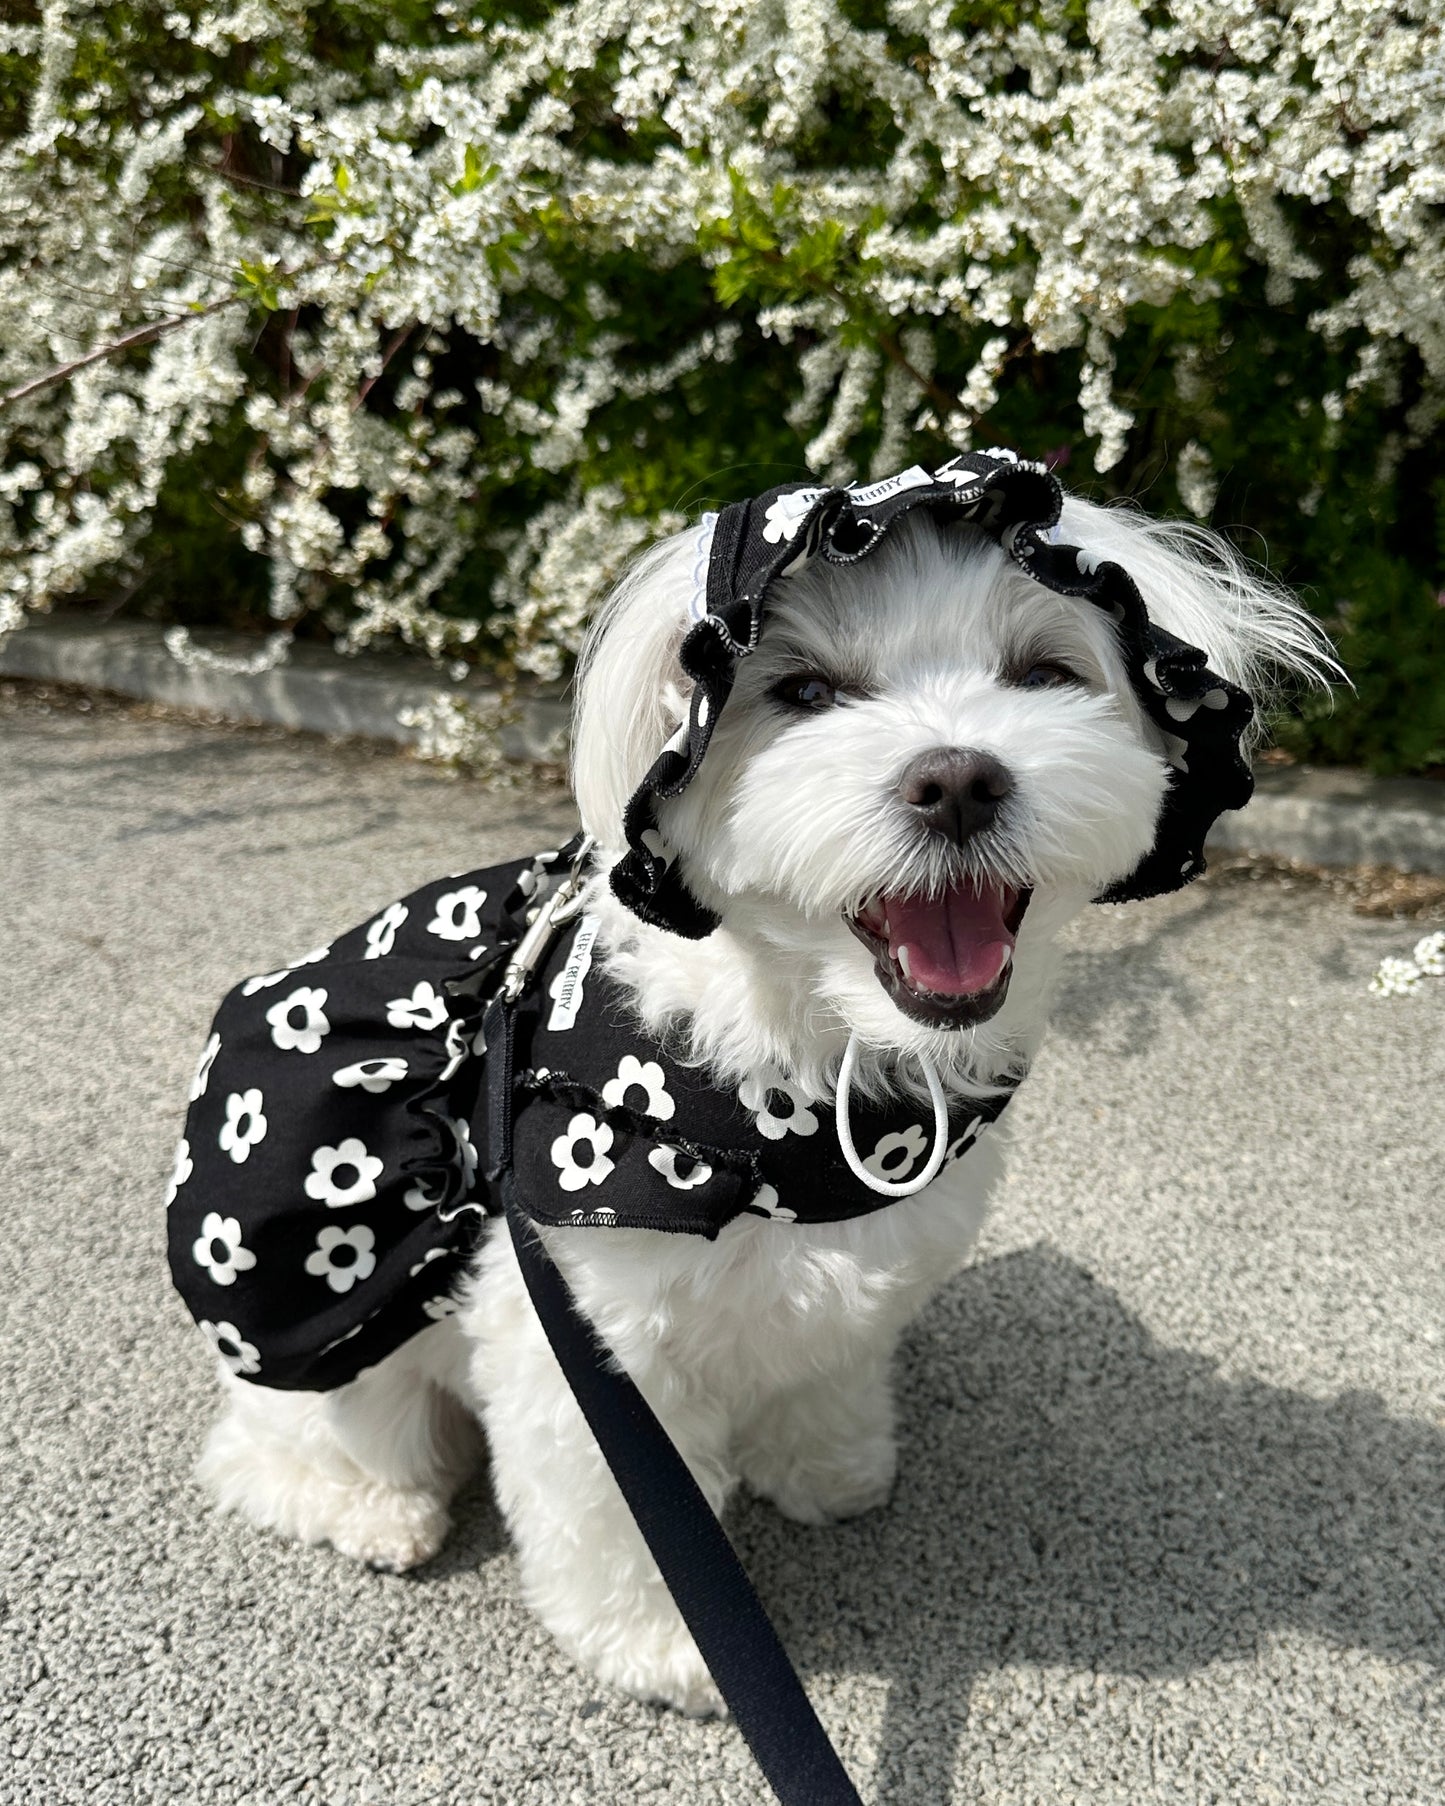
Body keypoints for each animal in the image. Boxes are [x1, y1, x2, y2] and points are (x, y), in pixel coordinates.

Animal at [191, 480, 1329, 1719]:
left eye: (1042, 671)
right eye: (804, 693)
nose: (957, 779)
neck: (799, 1069)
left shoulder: (851, 1277)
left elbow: (824, 1374)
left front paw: (826, 1470)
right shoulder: (587, 1344)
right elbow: (625, 1513)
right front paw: (660, 1644)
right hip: (337, 1339)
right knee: (275, 1451)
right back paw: (371, 1511)